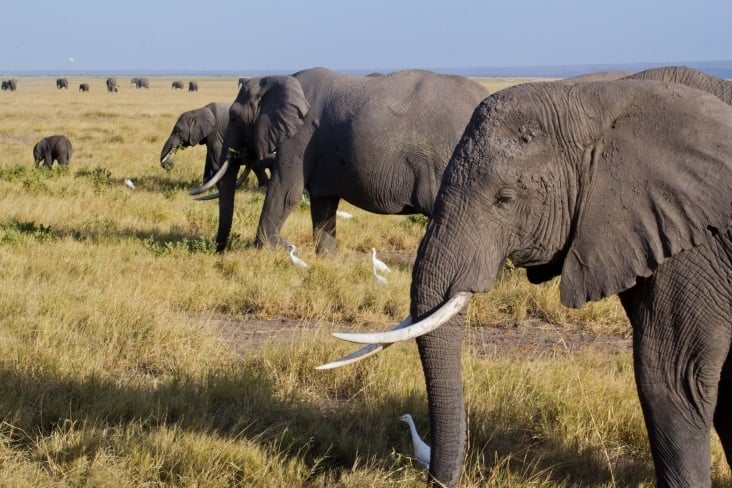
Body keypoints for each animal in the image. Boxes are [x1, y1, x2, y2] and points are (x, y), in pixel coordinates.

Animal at [192, 66, 492, 254]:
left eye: (233, 117)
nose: (219, 252)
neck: (277, 79)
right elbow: (323, 203)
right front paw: (327, 260)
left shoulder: (300, 138)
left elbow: (285, 192)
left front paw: (259, 255)